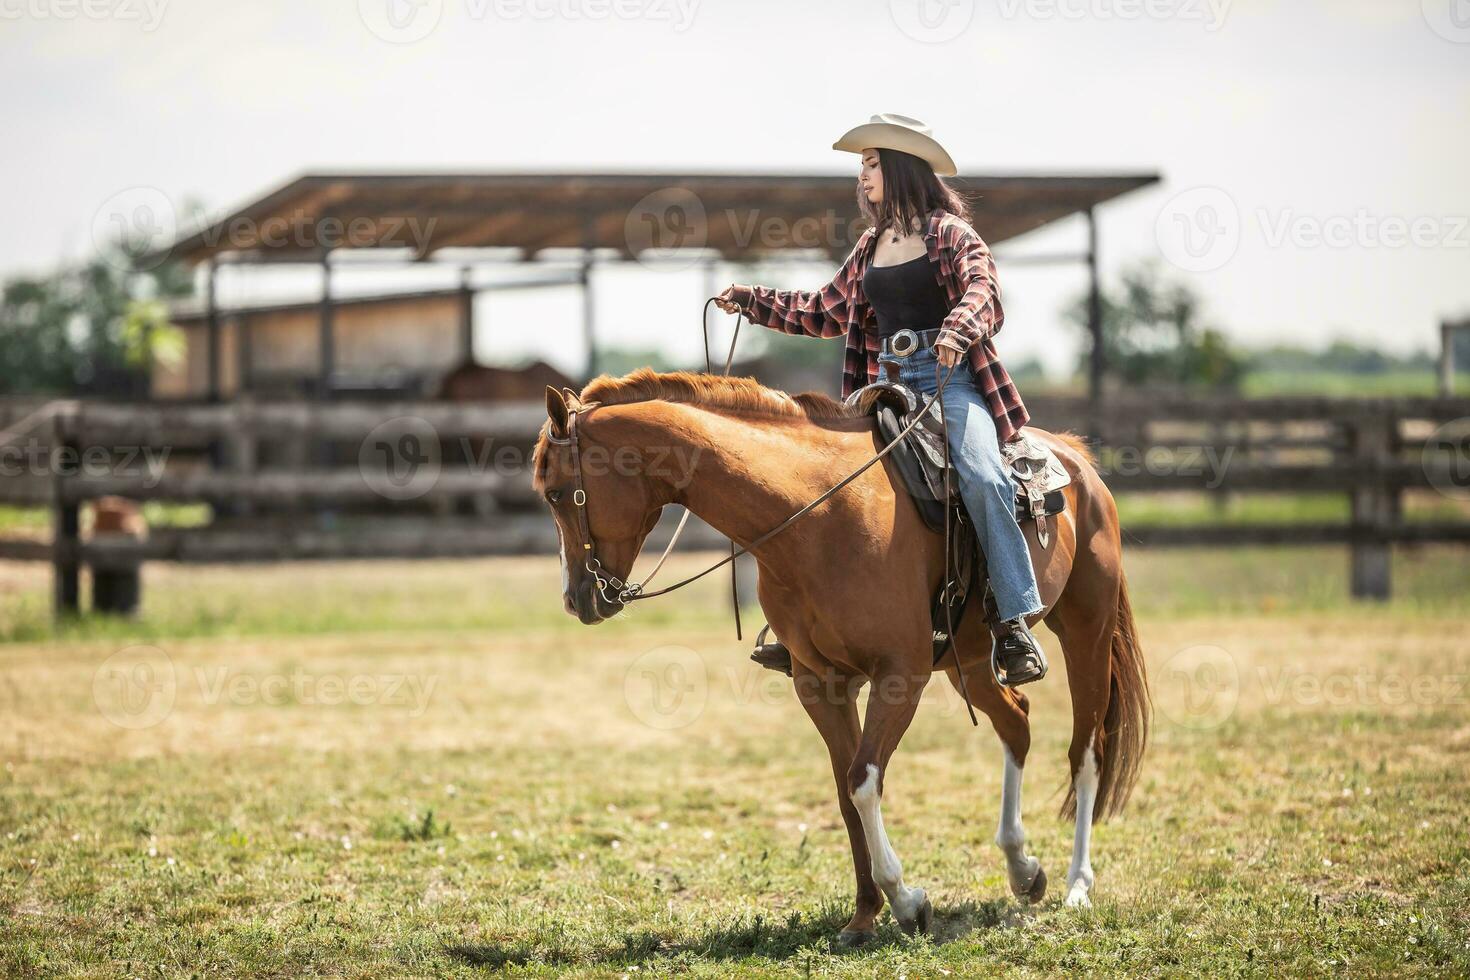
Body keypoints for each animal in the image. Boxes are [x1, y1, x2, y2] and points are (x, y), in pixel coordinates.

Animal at [529, 370, 1146, 952]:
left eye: (557, 492)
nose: (577, 600)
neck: (816, 514)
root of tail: (1077, 460)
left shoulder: (900, 676)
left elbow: (864, 780)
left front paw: (907, 902)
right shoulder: (820, 684)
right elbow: (846, 796)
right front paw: (864, 917)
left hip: (1086, 630)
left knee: (1086, 753)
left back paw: (1077, 886)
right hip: (969, 660)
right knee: (1017, 723)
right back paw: (1024, 870)